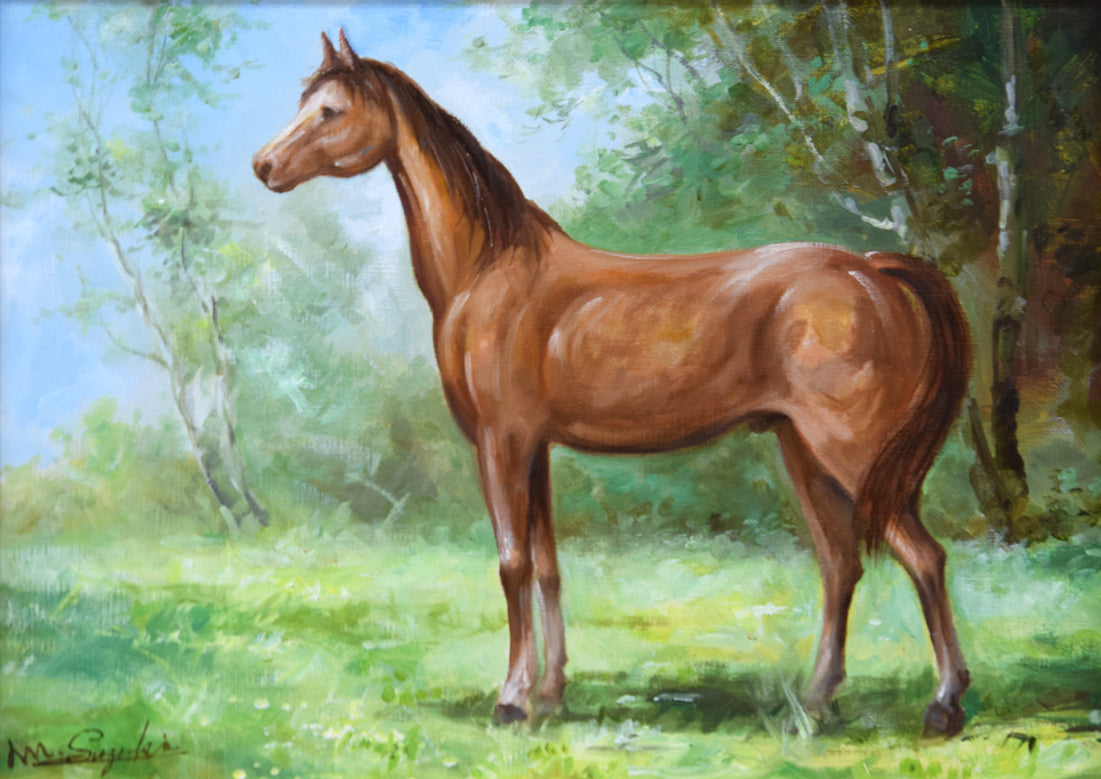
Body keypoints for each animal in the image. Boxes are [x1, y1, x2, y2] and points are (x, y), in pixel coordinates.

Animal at [253, 30, 973, 737]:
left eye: (330, 110)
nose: (263, 165)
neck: (491, 271)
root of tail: (871, 271)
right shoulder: (536, 449)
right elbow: (547, 566)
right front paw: (549, 694)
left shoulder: (502, 442)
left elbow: (512, 563)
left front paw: (511, 700)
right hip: (803, 454)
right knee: (840, 564)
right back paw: (816, 701)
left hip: (850, 455)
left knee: (924, 557)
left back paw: (942, 704)